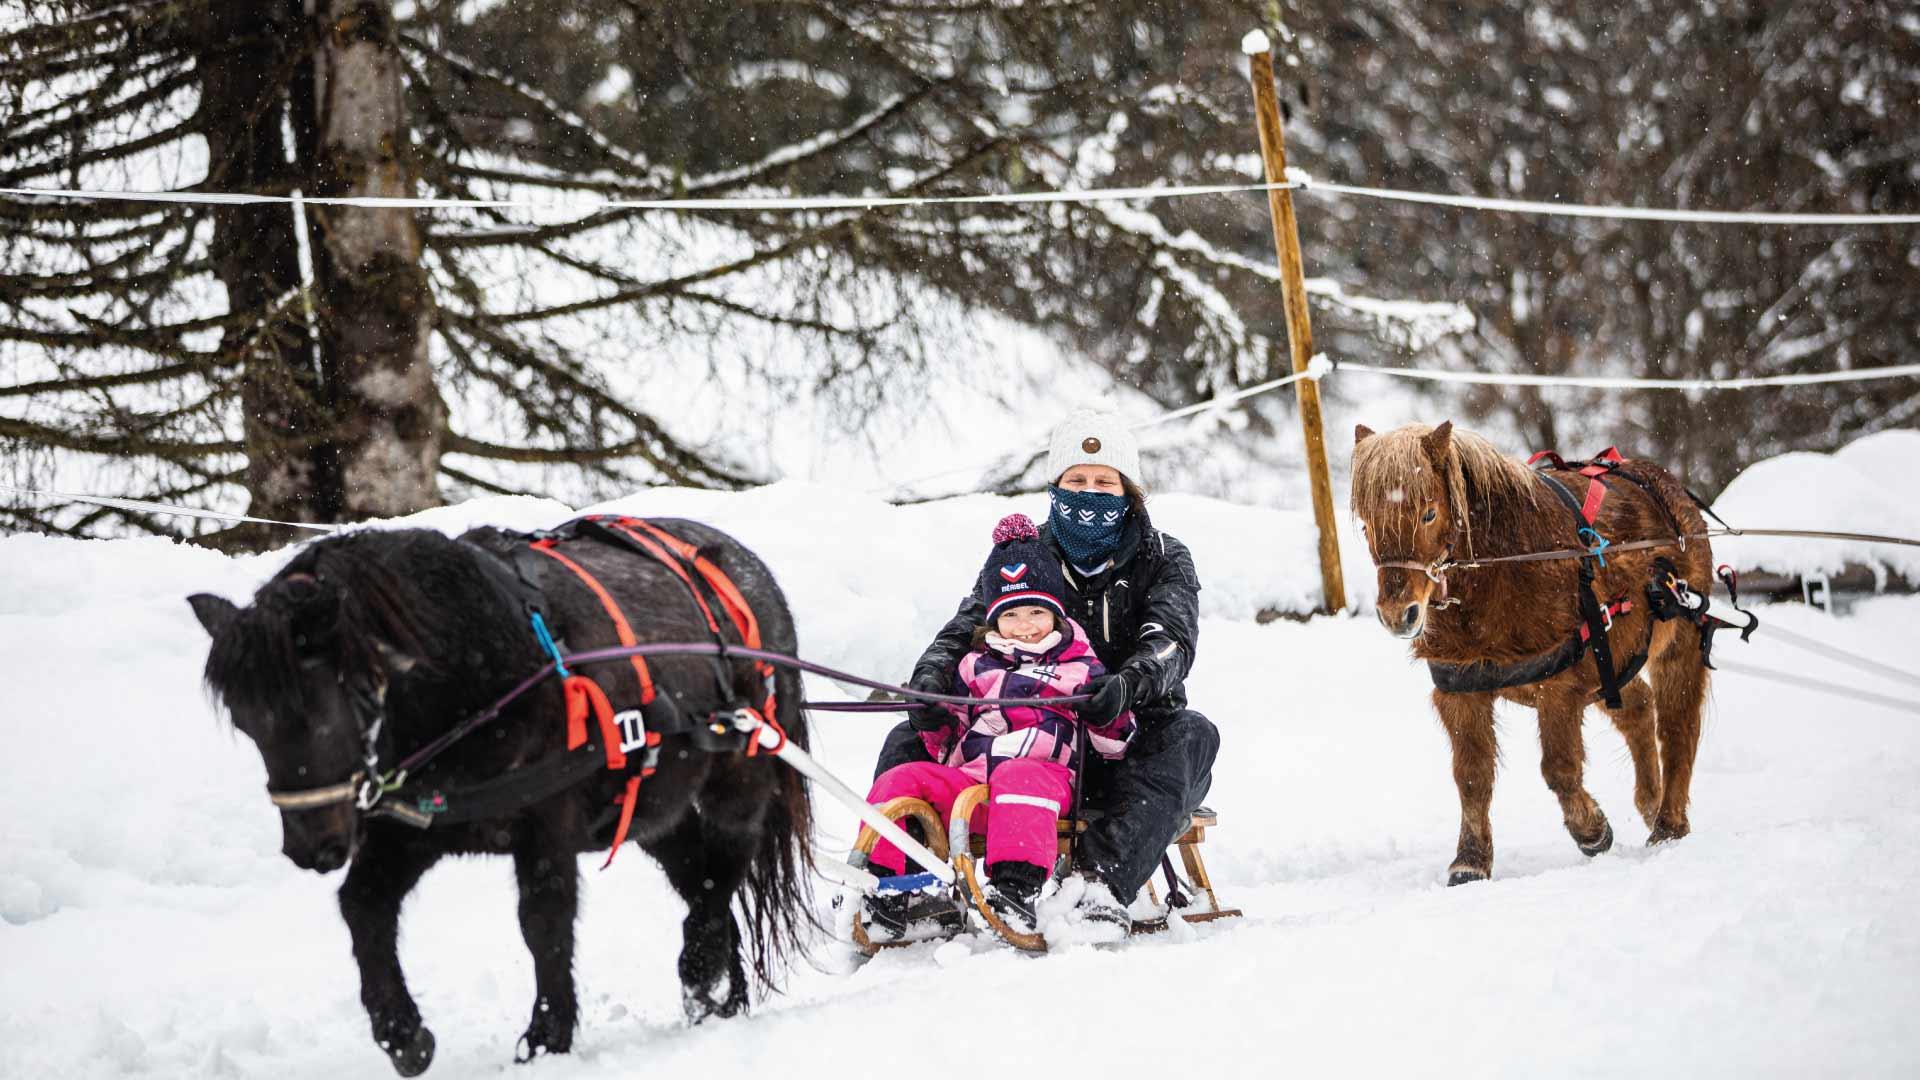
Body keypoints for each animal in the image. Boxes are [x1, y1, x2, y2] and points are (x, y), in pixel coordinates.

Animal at [183, 518, 806, 1068]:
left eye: (321, 711)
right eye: (245, 721)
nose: (311, 848)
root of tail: (754, 576)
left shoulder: (548, 825)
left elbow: (544, 921)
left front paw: (547, 1039)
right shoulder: (413, 828)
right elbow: (363, 906)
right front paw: (403, 1034)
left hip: (739, 768)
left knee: (725, 862)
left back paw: (700, 968)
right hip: (653, 810)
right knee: (699, 875)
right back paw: (721, 989)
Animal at [1351, 420, 1712, 883]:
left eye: (1429, 513)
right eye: (1366, 525)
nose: (1399, 614)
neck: (1510, 565)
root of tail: (1662, 485)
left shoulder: (1560, 688)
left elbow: (1559, 769)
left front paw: (1592, 830)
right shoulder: (1461, 692)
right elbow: (1472, 777)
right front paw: (1470, 861)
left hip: (1676, 644)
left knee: (1677, 726)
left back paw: (1668, 824)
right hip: (1611, 665)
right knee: (1638, 708)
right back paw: (1651, 803)